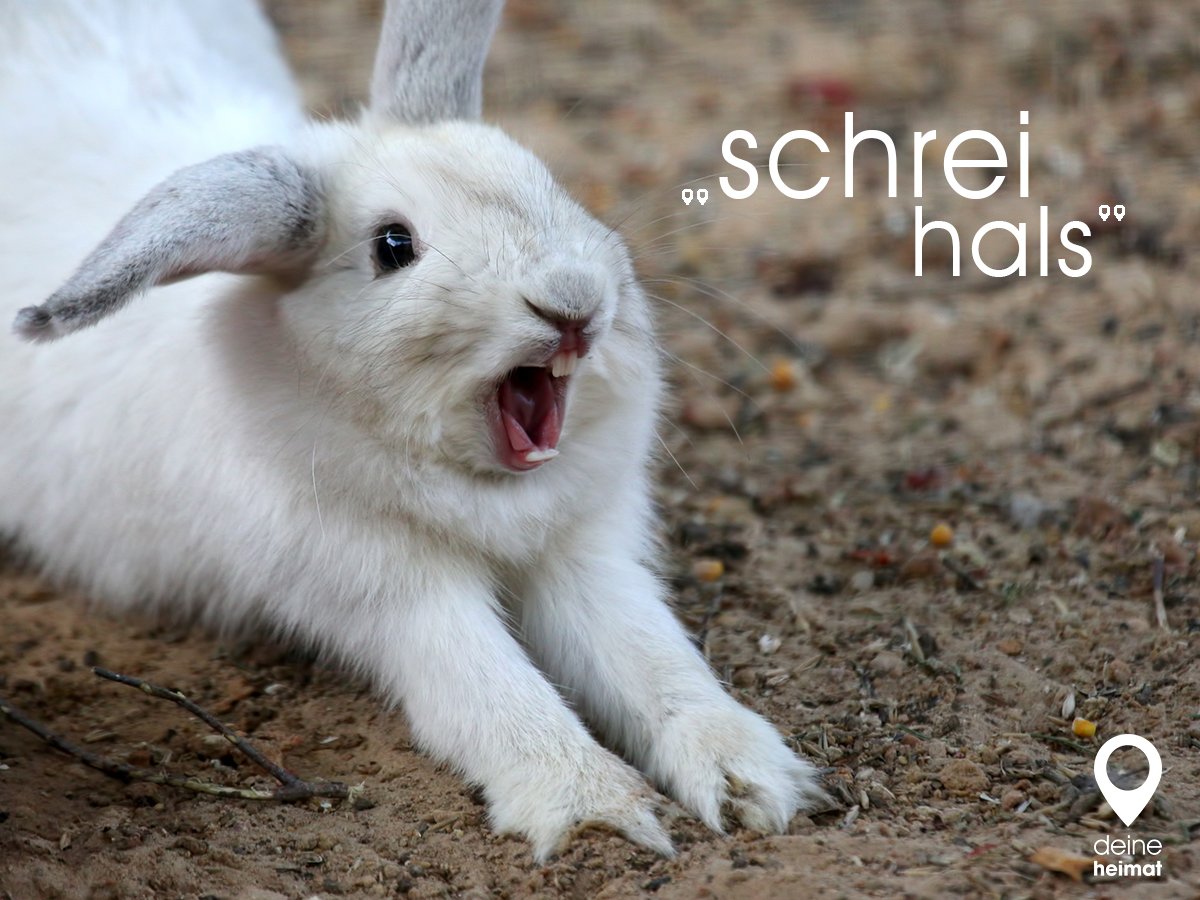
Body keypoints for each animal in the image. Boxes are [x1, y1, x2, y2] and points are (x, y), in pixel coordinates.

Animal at [0, 0, 824, 860]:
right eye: (393, 246)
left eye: (547, 181)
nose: (573, 301)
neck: (489, 488)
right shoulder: (397, 593)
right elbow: (493, 690)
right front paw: (596, 810)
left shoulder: (586, 558)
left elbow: (651, 657)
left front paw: (751, 781)